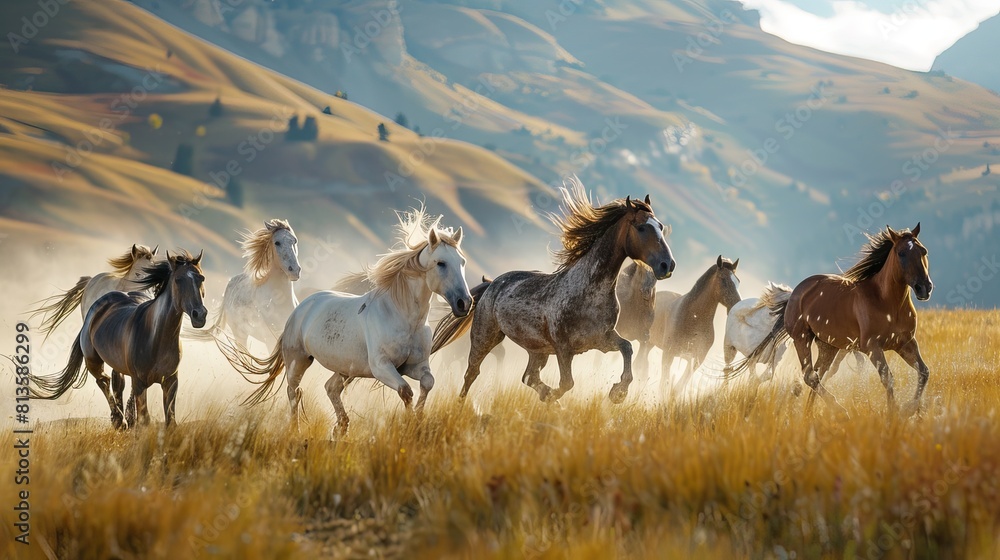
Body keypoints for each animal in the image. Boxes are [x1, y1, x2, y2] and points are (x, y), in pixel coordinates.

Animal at [219, 209, 471, 434]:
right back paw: (296, 430)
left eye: (462, 262)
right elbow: (405, 391)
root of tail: (300, 307)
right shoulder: (382, 367)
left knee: (330, 388)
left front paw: (418, 418)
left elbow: (427, 383)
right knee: (294, 391)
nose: (464, 303)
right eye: (440, 263)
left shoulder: (415, 366)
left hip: (345, 368)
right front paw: (410, 424)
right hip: (298, 360)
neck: (403, 315)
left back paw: (341, 425)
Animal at [432, 178, 675, 404]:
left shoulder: (602, 339)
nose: (667, 265)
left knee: (528, 376)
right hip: (486, 337)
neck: (589, 290)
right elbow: (567, 383)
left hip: (537, 350)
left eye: (660, 226)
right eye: (641, 227)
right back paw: (461, 405)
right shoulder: (563, 347)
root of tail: (492, 283)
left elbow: (627, 348)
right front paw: (554, 398)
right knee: (472, 373)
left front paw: (618, 392)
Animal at [650, 255, 741, 396]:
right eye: (723, 279)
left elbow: (676, 389)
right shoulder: (668, 355)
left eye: (738, 281)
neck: (693, 319)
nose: (737, 304)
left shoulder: (695, 361)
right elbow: (663, 386)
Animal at [722, 282, 864, 388]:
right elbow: (756, 377)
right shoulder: (755, 357)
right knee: (728, 369)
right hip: (729, 350)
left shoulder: (772, 359)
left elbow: (762, 377)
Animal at [740, 224, 933, 416]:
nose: (924, 288)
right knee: (810, 376)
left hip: (828, 346)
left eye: (923, 251)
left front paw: (909, 408)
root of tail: (796, 291)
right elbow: (888, 378)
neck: (887, 302)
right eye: (901, 253)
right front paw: (895, 412)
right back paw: (840, 411)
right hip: (802, 338)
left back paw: (810, 413)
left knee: (818, 375)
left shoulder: (906, 343)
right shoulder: (872, 347)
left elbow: (924, 372)